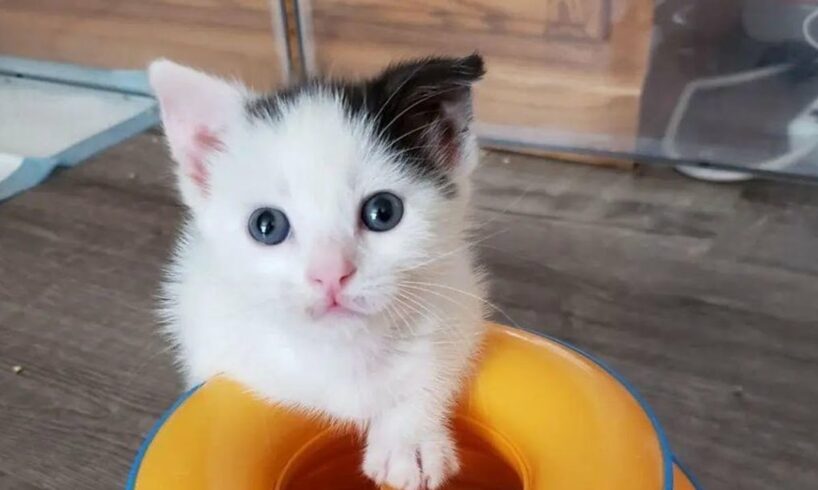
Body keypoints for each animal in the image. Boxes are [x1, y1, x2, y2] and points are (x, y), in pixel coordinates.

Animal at [148, 54, 484, 490]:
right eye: (267, 225)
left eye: (383, 212)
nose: (331, 274)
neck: (342, 352)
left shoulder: (459, 297)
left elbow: (437, 360)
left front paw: (409, 440)